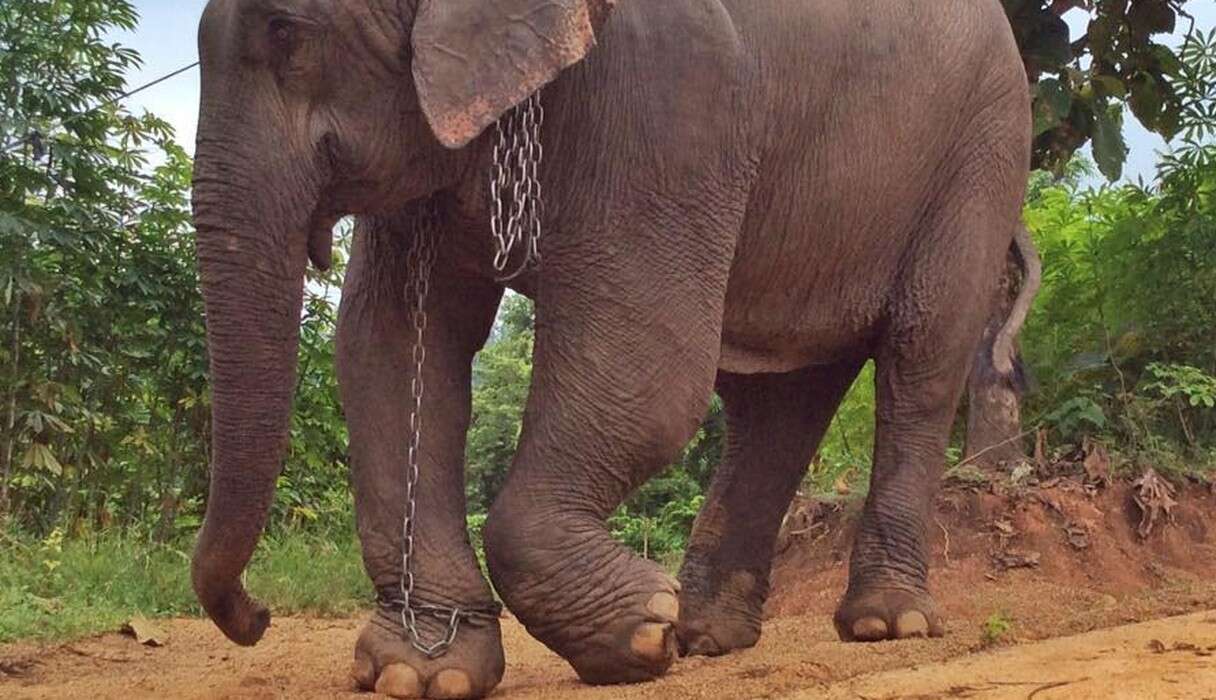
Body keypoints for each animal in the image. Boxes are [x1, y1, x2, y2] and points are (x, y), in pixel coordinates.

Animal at [189, 0, 1031, 698]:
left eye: (287, 32)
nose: (256, 617)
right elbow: (390, 345)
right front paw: (422, 672)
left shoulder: (670, 97)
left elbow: (649, 361)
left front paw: (640, 635)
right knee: (776, 400)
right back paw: (707, 636)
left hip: (983, 152)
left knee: (921, 359)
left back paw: (886, 624)